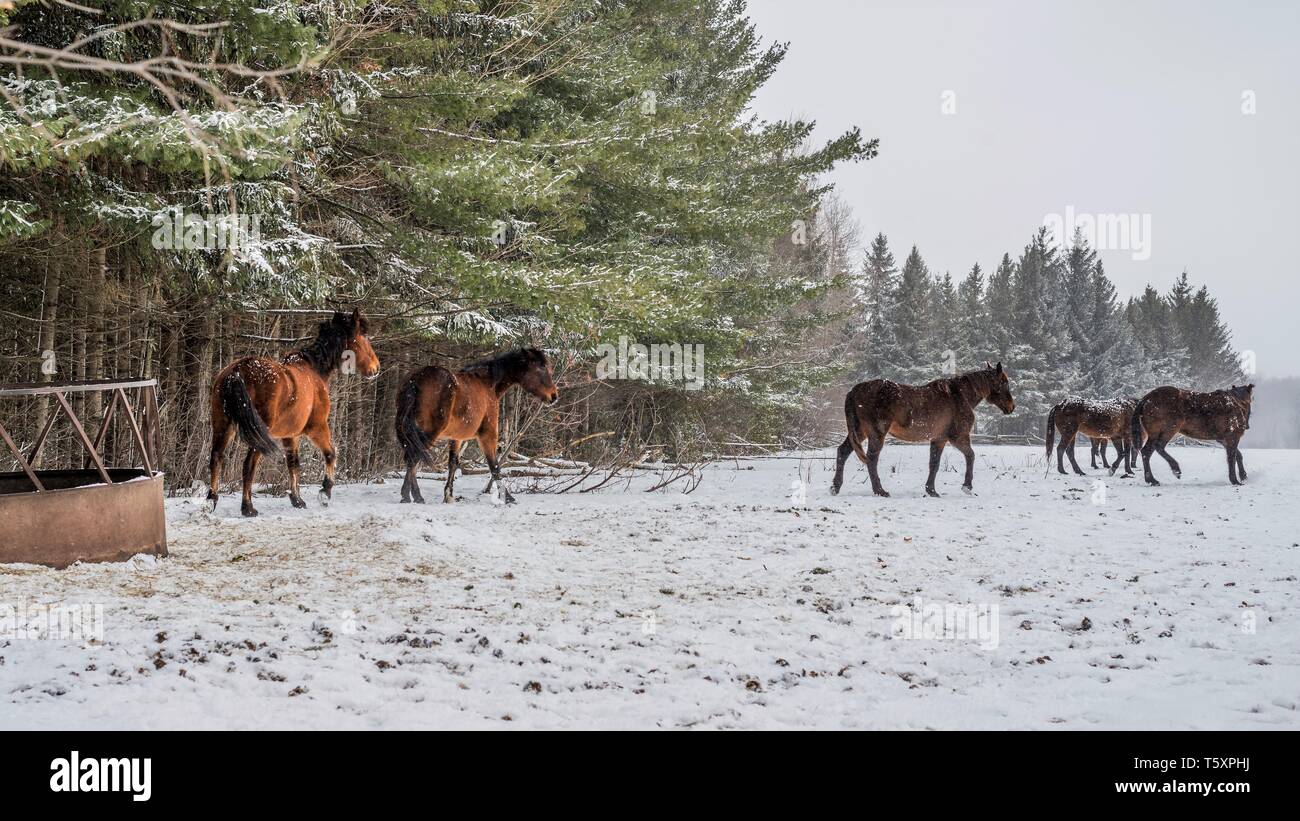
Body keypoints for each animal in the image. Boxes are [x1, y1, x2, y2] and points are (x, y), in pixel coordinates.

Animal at [208, 309, 380, 516]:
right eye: (364, 338)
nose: (376, 368)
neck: (315, 370)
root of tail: (237, 370)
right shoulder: (317, 427)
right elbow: (330, 453)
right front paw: (325, 491)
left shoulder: (291, 436)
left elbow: (293, 464)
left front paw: (297, 499)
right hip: (257, 434)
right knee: (248, 464)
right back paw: (247, 507)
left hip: (223, 426)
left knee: (216, 457)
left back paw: (211, 501)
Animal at [394, 348, 557, 505]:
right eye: (541, 368)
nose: (554, 396)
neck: (488, 384)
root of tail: (416, 379)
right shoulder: (488, 434)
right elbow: (494, 466)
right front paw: (508, 497)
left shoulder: (457, 438)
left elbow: (453, 464)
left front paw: (448, 496)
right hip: (428, 432)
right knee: (413, 459)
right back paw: (412, 496)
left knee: (412, 458)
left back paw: (411, 496)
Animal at [831, 362, 1016, 498]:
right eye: (1004, 382)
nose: (1011, 407)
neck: (960, 396)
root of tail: (854, 390)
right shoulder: (958, 437)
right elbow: (971, 456)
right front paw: (967, 486)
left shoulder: (939, 439)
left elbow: (934, 464)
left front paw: (931, 490)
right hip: (876, 434)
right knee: (871, 459)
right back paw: (880, 491)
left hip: (859, 432)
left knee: (843, 452)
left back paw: (835, 487)